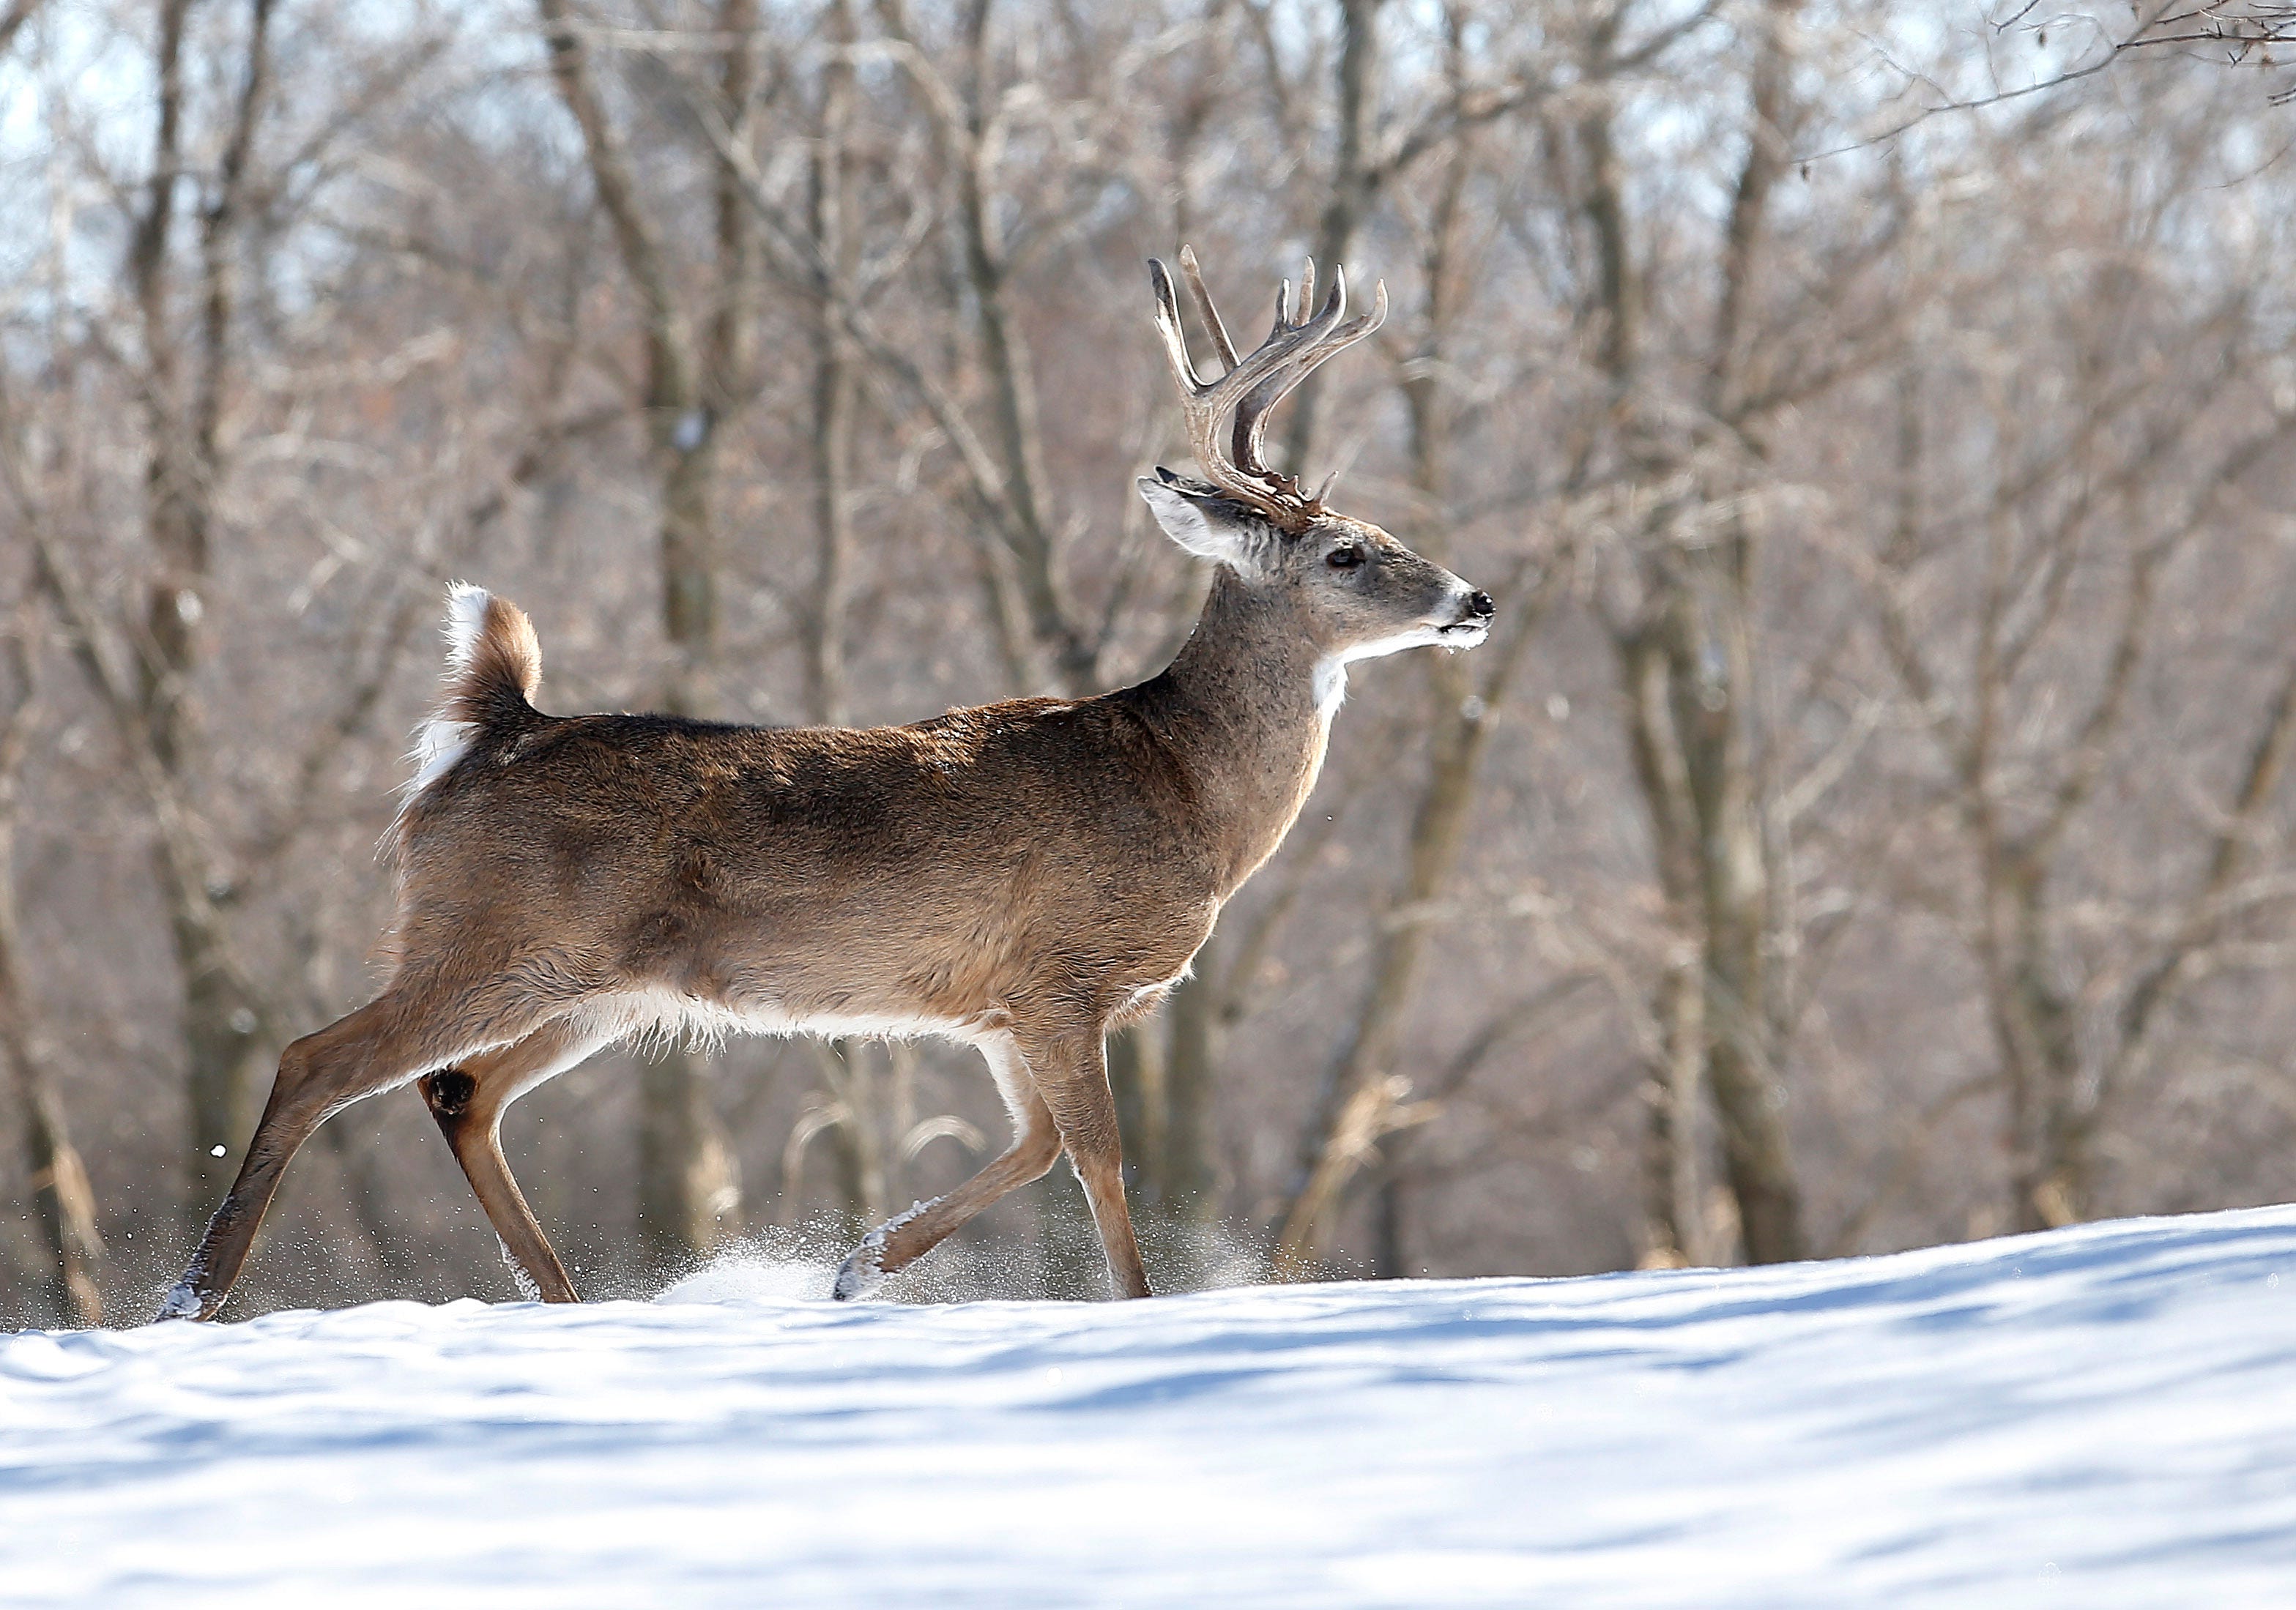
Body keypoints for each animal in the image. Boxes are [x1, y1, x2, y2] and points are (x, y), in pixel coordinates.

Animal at [159, 249, 1493, 1320]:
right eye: (1348, 552)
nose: (1473, 598)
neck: (1188, 793)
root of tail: (490, 725)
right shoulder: (1063, 974)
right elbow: (1098, 1158)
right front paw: (1132, 1308)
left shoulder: (1002, 1003)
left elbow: (1037, 1144)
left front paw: (857, 1265)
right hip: (484, 929)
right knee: (318, 1056)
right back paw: (195, 1292)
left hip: (596, 981)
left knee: (461, 1091)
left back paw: (562, 1298)